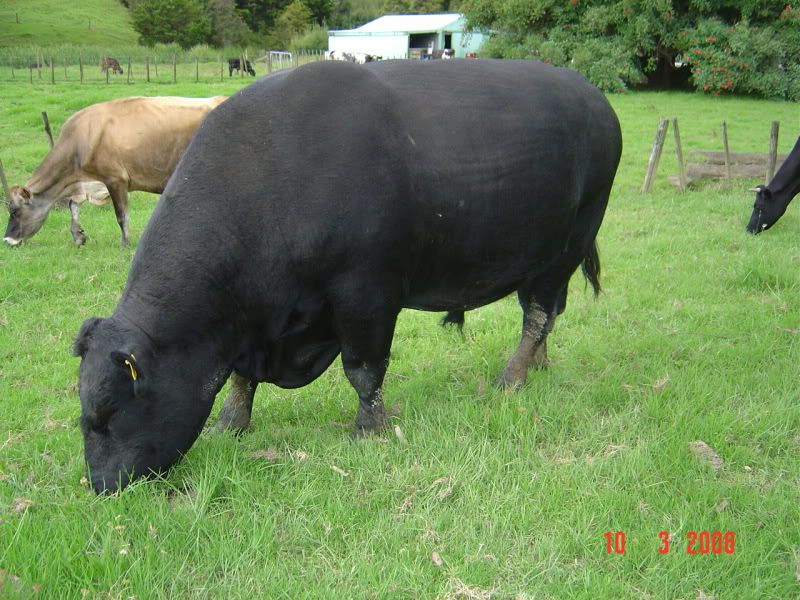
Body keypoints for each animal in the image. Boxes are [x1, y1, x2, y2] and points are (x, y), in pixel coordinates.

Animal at [4, 96, 227, 247]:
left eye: (14, 210)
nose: (7, 240)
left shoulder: (115, 178)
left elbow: (121, 215)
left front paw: (125, 243)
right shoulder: (87, 184)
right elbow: (72, 205)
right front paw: (78, 236)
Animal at [74, 59, 621, 494]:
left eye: (107, 413)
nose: (101, 487)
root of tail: (590, 92)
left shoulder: (367, 293)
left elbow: (364, 370)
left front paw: (369, 429)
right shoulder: (256, 319)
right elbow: (241, 378)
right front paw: (230, 424)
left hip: (571, 240)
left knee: (538, 314)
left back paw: (511, 378)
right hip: (542, 256)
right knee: (546, 313)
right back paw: (538, 365)